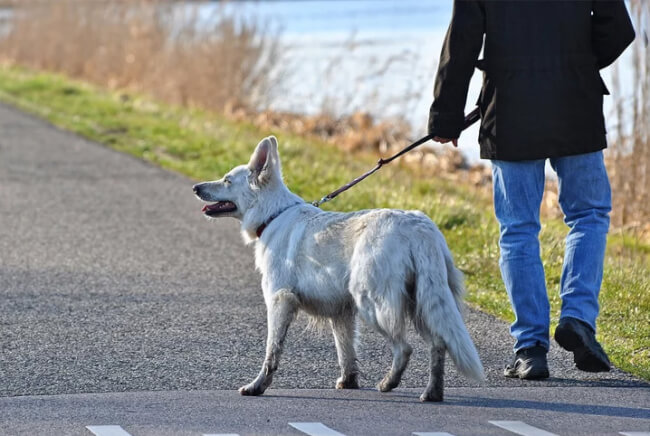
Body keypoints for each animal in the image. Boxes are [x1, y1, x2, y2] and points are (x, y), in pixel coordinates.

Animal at [192, 136, 480, 402]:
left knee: (405, 348)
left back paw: (389, 382)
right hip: (422, 303)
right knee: (439, 344)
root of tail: (419, 227)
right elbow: (346, 352)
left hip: (373, 304)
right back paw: (432, 392)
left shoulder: (279, 301)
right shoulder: (341, 313)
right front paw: (348, 382)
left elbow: (271, 352)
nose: (195, 187)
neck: (273, 214)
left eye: (227, 180)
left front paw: (257, 386)